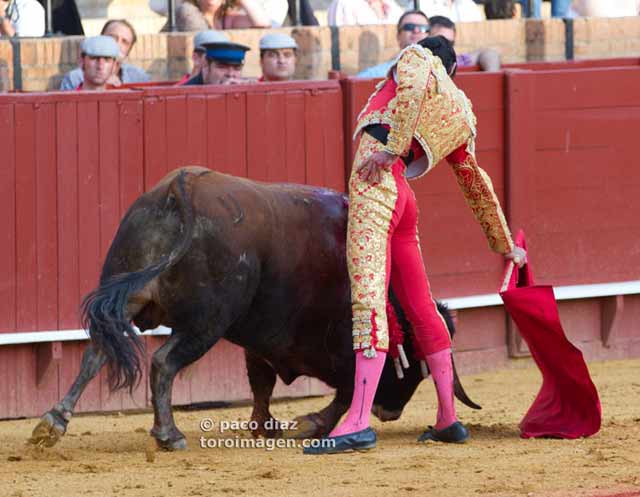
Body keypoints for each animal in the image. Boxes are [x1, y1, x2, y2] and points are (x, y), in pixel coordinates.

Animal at [30, 167, 480, 450]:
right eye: (416, 363)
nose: (391, 412)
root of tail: (180, 189)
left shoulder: (260, 340)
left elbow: (262, 382)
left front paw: (266, 427)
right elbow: (347, 389)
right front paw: (308, 425)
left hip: (127, 296)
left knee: (96, 352)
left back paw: (53, 422)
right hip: (205, 324)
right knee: (163, 363)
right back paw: (169, 434)